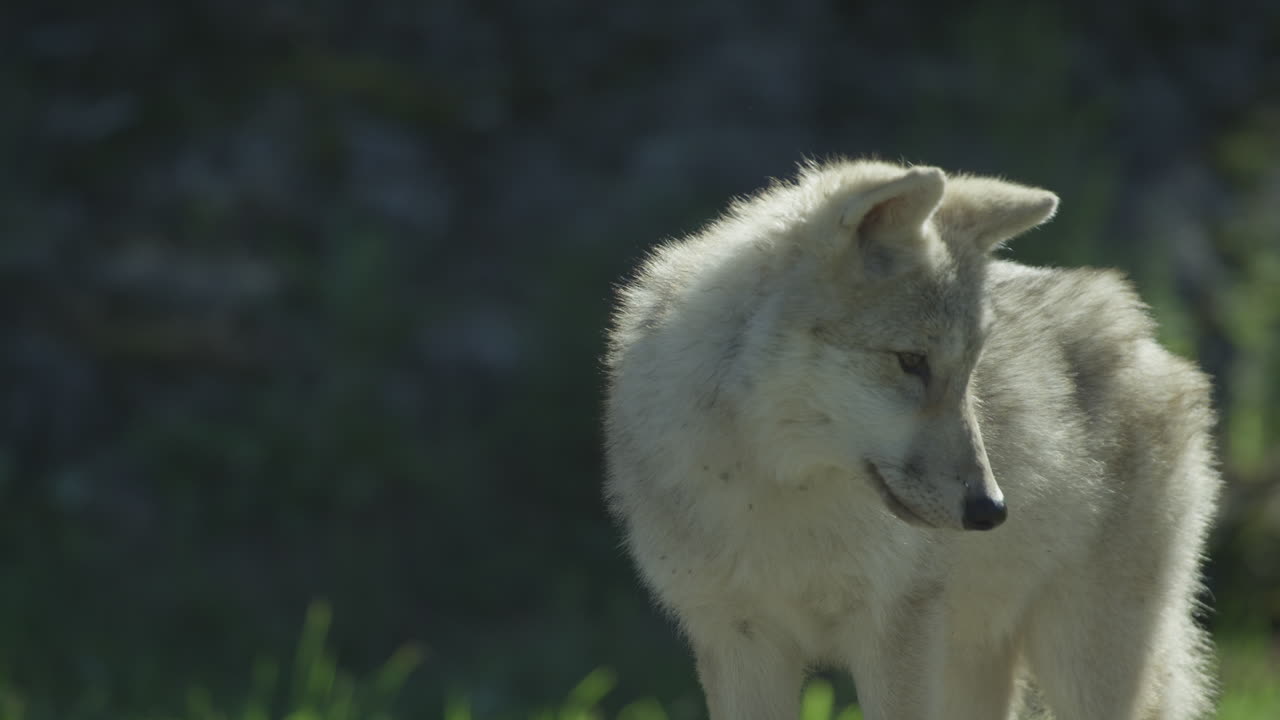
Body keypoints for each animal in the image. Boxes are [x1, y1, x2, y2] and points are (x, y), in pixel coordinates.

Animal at [603, 159, 1220, 720]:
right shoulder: (739, 639)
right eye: (911, 362)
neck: (777, 491)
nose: (991, 510)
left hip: (1079, 664)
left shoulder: (895, 633)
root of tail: (1142, 332)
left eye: (969, 370)